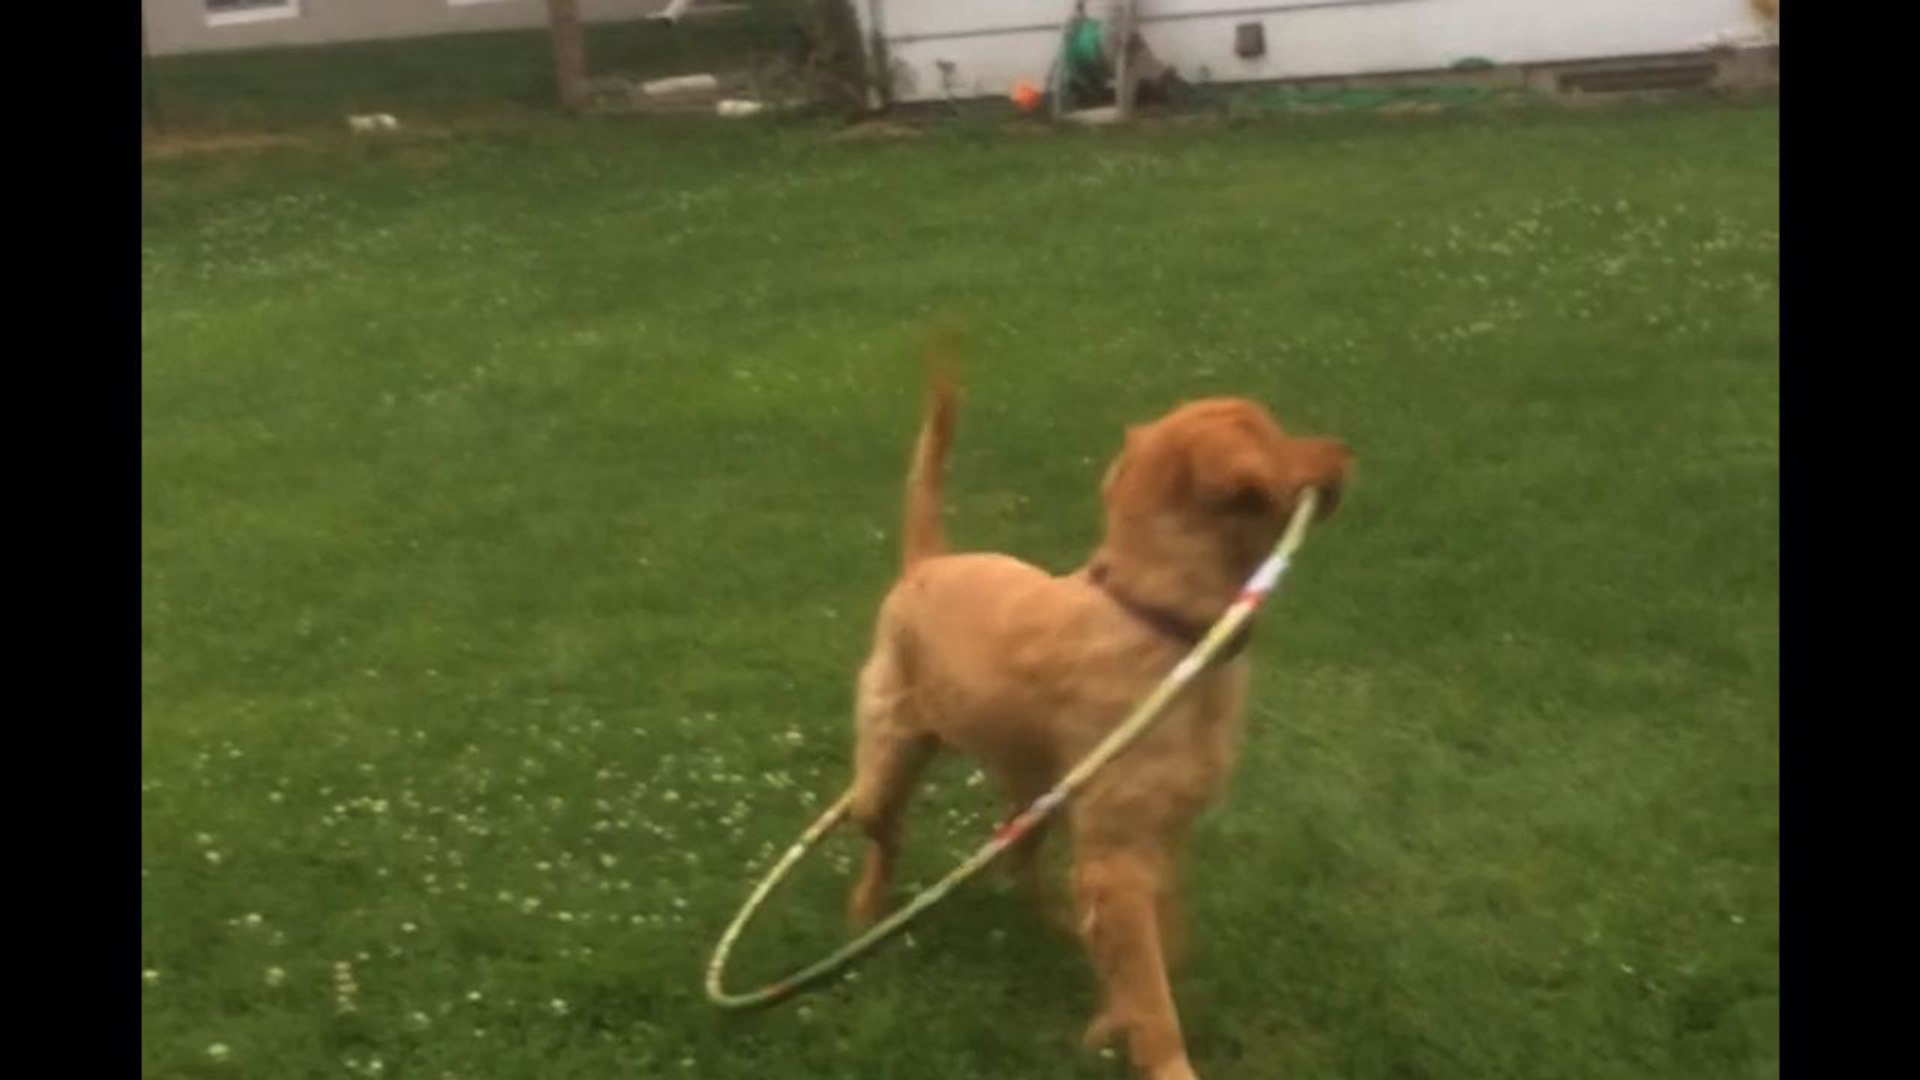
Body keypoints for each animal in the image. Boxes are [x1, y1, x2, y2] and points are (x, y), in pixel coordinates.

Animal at [840, 357, 1351, 1068]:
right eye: (1278, 435)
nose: (1346, 450)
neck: (1161, 624)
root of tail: (928, 559)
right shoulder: (1119, 853)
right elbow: (1152, 992)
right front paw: (1163, 1058)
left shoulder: (1162, 838)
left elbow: (1157, 949)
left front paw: (1110, 1020)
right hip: (889, 756)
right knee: (884, 832)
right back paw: (865, 911)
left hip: (1036, 792)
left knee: (1015, 860)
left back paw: (1057, 924)